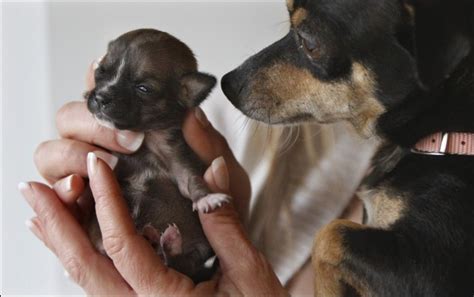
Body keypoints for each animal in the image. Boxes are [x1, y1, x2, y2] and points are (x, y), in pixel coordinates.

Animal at [86, 28, 232, 280]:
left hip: (194, 252)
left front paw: (207, 198)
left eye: (143, 88)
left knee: (179, 262)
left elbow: (192, 181)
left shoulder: (179, 159)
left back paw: (167, 243)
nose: (100, 97)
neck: (147, 139)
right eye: (101, 71)